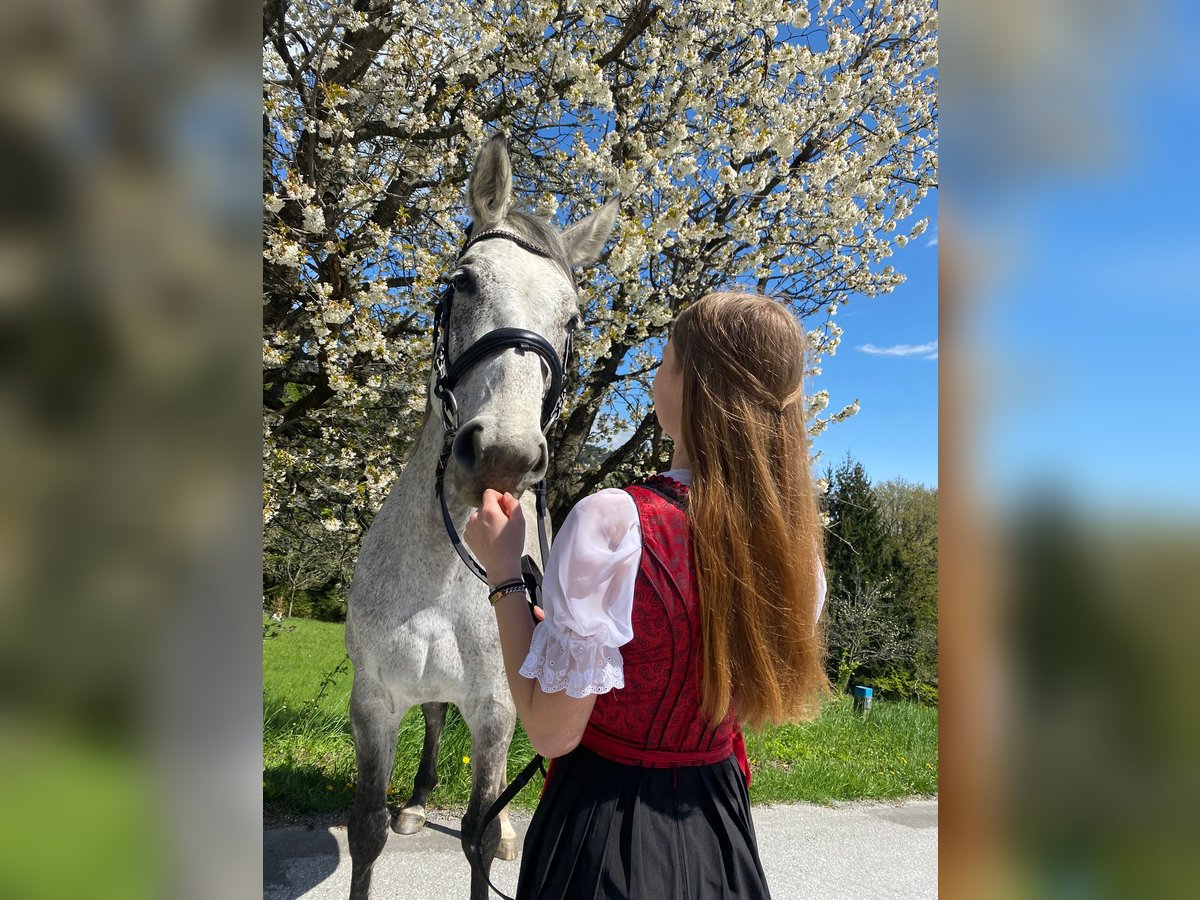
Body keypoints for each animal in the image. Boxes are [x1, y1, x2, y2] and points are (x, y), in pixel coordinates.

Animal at [343, 135, 614, 900]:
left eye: (573, 319)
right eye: (464, 283)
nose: (502, 455)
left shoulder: (494, 710)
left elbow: (479, 833)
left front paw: (501, 836)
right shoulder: (373, 702)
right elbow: (366, 832)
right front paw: (397, 811)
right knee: (435, 717)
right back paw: (415, 802)